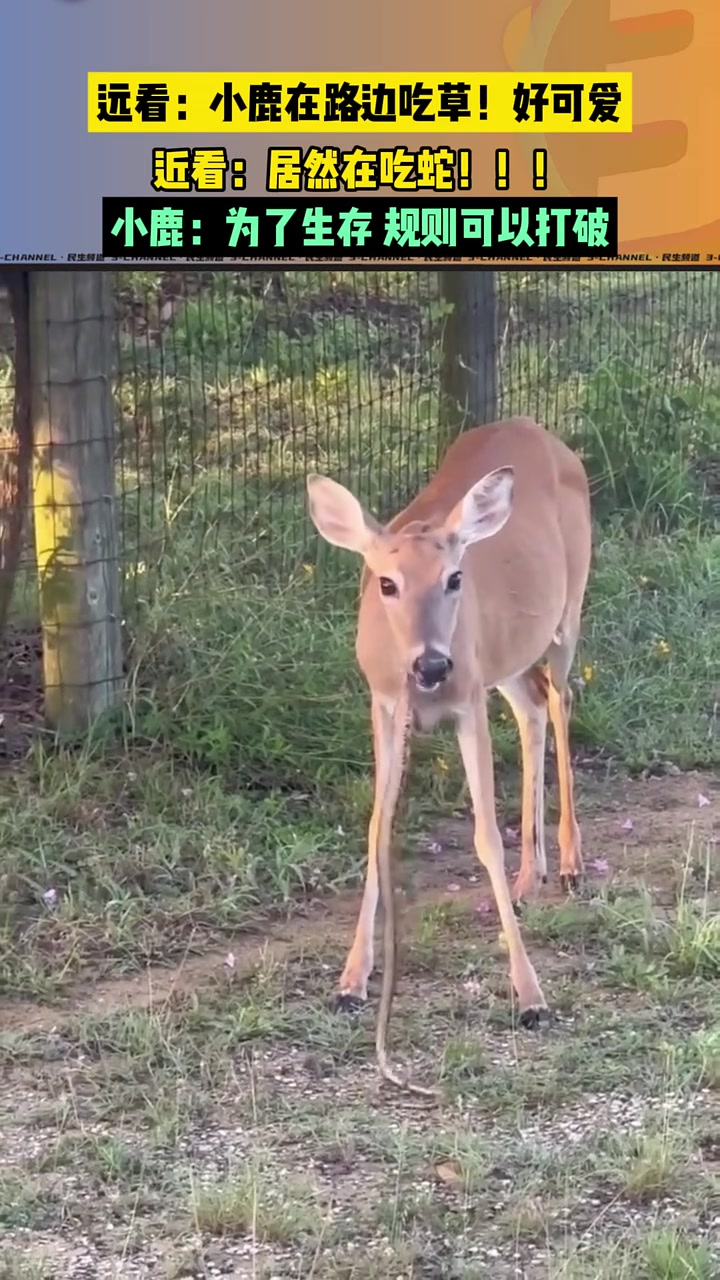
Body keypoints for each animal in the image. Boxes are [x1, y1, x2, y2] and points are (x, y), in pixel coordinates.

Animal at [304, 414, 591, 1095]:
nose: (433, 665)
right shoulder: (385, 703)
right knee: (533, 707)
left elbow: (484, 833)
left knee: (562, 699)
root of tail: (540, 430)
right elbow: (377, 826)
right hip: (504, 659)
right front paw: (351, 982)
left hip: (565, 612)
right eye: (386, 582)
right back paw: (529, 878)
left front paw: (531, 997)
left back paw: (570, 862)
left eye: (454, 578)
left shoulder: (466, 701)